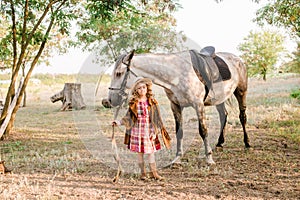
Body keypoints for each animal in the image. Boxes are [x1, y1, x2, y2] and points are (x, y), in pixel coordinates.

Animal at [106, 48, 250, 164]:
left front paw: (209, 158)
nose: (111, 100)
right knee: (223, 116)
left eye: (119, 73)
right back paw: (220, 143)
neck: (177, 74)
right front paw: (177, 158)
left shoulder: (198, 105)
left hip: (241, 92)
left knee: (242, 116)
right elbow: (179, 132)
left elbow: (203, 131)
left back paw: (247, 143)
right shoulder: (175, 106)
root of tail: (238, 59)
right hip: (219, 99)